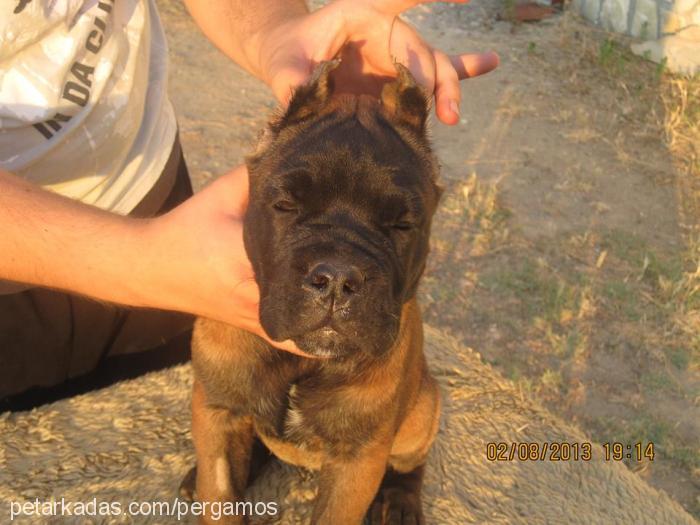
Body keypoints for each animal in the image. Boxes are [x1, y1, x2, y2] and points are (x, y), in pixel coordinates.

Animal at [183, 62, 440, 524]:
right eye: (286, 205)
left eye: (403, 225)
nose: (338, 277)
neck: (299, 362)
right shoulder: (216, 413)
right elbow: (220, 493)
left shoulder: (358, 461)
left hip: (423, 409)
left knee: (410, 461)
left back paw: (400, 502)